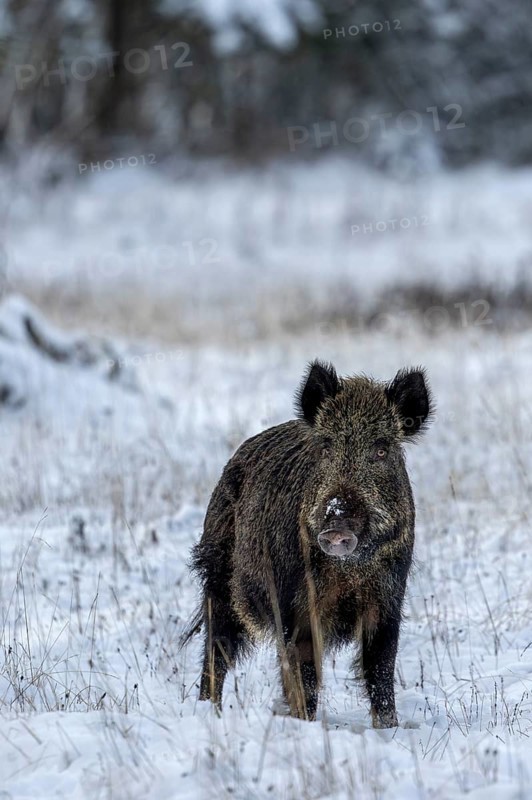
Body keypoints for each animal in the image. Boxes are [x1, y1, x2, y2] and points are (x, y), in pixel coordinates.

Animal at [182, 360, 432, 726]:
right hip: (217, 575)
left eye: (381, 449)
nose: (336, 526)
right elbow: (304, 675)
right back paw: (208, 711)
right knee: (217, 650)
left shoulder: (388, 600)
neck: (349, 571)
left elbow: (381, 672)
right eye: (326, 448)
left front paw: (389, 729)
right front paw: (304, 724)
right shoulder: (294, 606)